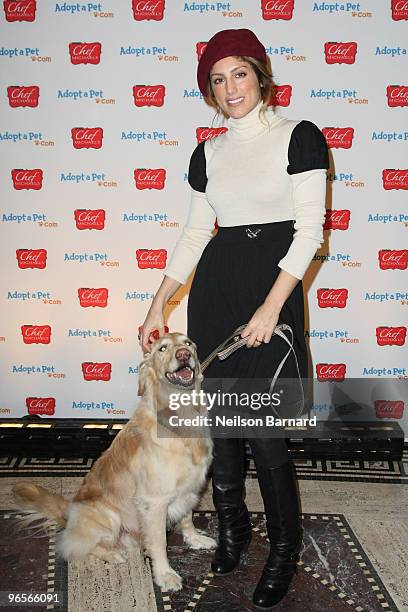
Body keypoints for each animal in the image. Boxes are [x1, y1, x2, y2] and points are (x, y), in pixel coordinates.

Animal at [12, 332, 217, 592]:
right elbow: (159, 542)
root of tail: (67, 514)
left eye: (188, 343)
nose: (183, 355)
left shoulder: (189, 488)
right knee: (71, 548)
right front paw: (164, 574)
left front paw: (194, 539)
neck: (180, 416)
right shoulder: (155, 502)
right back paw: (112, 554)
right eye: (162, 348)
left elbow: (187, 517)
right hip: (109, 516)